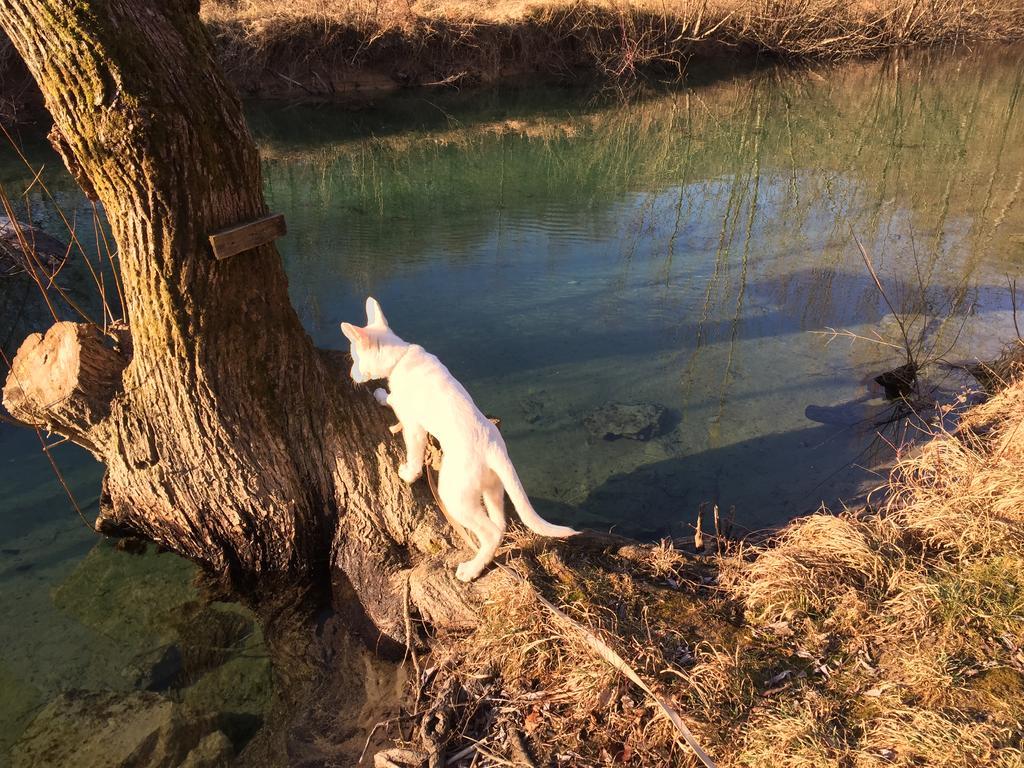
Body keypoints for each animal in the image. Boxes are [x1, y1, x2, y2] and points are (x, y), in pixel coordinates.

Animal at [342, 296, 577, 581]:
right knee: (499, 524)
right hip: (491, 488)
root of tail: (494, 449)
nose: (351, 375)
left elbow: (412, 449)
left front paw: (408, 473)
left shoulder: (415, 427)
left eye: (355, 358)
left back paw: (471, 570)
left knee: (491, 531)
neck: (401, 356)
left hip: (454, 495)